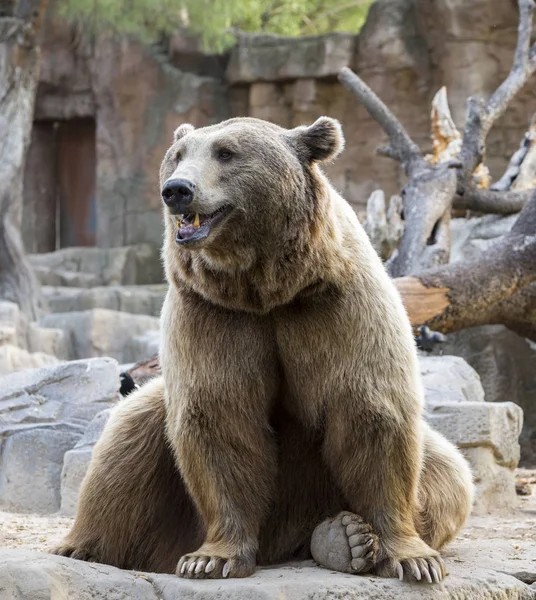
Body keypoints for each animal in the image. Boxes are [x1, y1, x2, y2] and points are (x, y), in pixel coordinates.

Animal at [52, 116, 474, 580]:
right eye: (177, 156)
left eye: (226, 152)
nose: (177, 189)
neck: (265, 289)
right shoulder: (213, 314)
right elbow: (219, 415)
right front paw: (210, 558)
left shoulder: (337, 305)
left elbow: (372, 410)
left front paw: (413, 559)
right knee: (126, 444)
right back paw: (79, 547)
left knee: (449, 474)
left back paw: (343, 538)